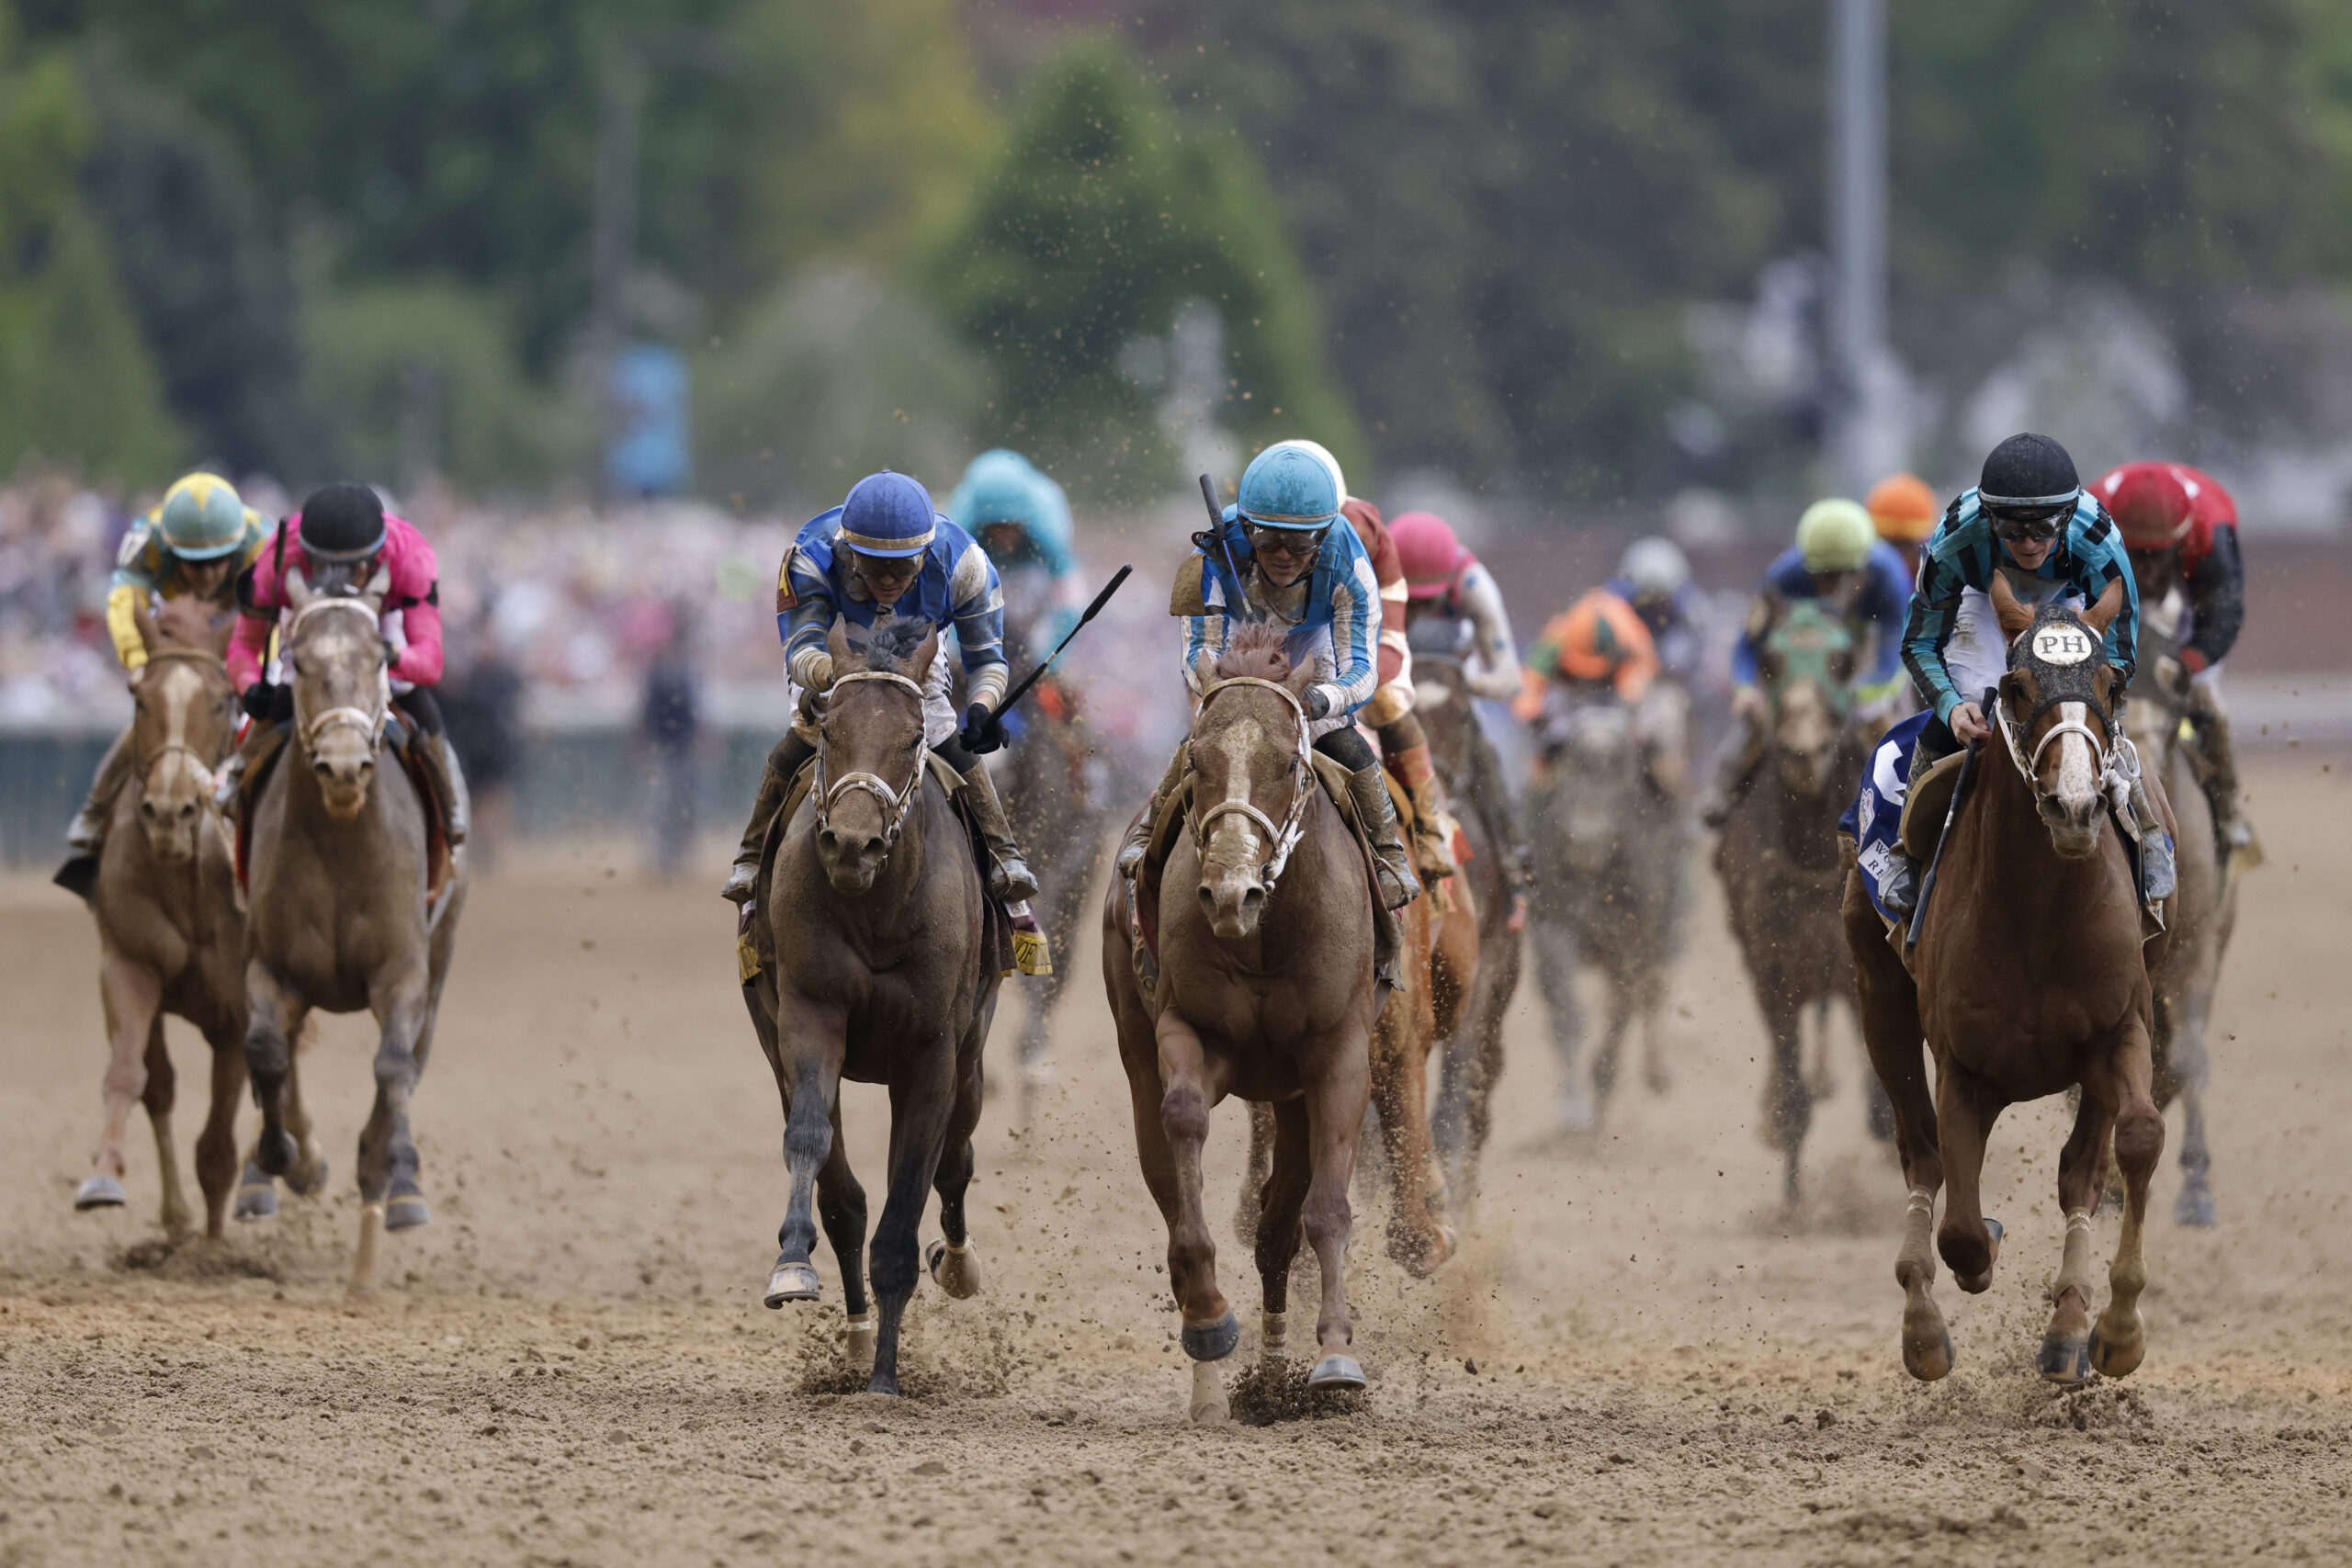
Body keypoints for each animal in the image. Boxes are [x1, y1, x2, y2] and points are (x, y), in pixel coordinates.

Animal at [70, 639, 245, 1241]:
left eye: (222, 702)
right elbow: (137, 1077)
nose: (170, 809)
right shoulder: (128, 963)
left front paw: (213, 1246)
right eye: (139, 699)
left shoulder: (236, 1007)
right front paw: (107, 1179)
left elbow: (219, 1142)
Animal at [245, 576, 470, 1288]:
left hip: (441, 954)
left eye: (379, 659)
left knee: (412, 1061)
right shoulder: (269, 965)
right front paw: (285, 1159)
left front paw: (392, 1178)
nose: (344, 767)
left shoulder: (403, 970)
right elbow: (265, 1051)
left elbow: (393, 1066)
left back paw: (394, 1192)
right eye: (299, 661)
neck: (341, 838)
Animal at [1095, 625, 1374, 1419]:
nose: (1230, 892)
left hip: (1293, 1096)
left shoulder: (1338, 1055)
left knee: (1281, 1226)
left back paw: (1276, 1374)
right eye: (1197, 758)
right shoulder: (1190, 1032)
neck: (1265, 936)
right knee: (1169, 1170)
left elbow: (1325, 1209)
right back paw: (1215, 1380)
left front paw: (1336, 1354)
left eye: (1288, 761)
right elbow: (1184, 1119)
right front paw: (1212, 1320)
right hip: (1139, 1048)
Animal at [1844, 581, 2173, 1382]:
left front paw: (2117, 1329)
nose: (2076, 805)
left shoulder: (2121, 1026)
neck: (2039, 911)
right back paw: (1923, 1325)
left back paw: (2067, 1329)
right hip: (1878, 996)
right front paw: (1975, 1260)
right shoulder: (1964, 1065)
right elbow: (1961, 1224)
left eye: (2111, 682)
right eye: (2019, 687)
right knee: (1921, 1152)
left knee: (2080, 1167)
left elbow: (2136, 1138)